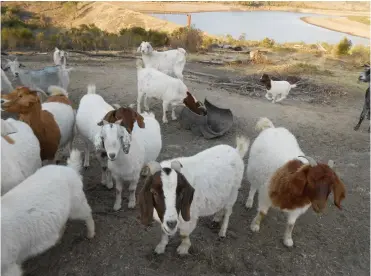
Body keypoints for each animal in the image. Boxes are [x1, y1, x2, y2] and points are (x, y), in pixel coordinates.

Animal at [246, 117, 348, 247]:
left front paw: (288, 240)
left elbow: (291, 224)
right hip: (253, 169)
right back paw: (249, 201)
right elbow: (262, 212)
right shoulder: (265, 194)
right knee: (253, 185)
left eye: (331, 186)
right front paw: (255, 225)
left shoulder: (297, 209)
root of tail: (273, 128)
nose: (320, 207)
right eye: (311, 180)